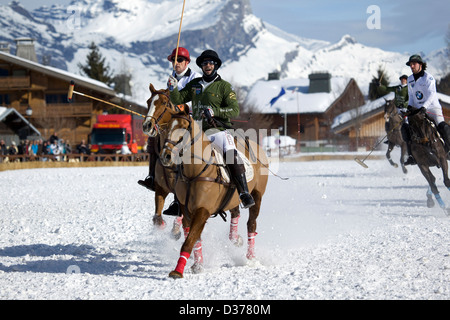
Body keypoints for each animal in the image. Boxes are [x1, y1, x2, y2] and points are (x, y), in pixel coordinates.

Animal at [142, 85, 244, 242]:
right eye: (148, 102)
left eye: (164, 103)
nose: (147, 125)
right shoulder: (161, 188)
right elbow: (157, 217)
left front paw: (176, 231)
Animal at [161, 107, 268, 278]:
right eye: (166, 128)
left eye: (183, 127)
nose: (166, 156)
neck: (194, 172)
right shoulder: (187, 210)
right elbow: (194, 239)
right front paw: (197, 266)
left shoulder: (202, 210)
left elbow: (189, 241)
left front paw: (177, 271)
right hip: (233, 198)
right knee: (236, 213)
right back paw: (236, 239)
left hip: (257, 196)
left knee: (251, 224)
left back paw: (250, 258)